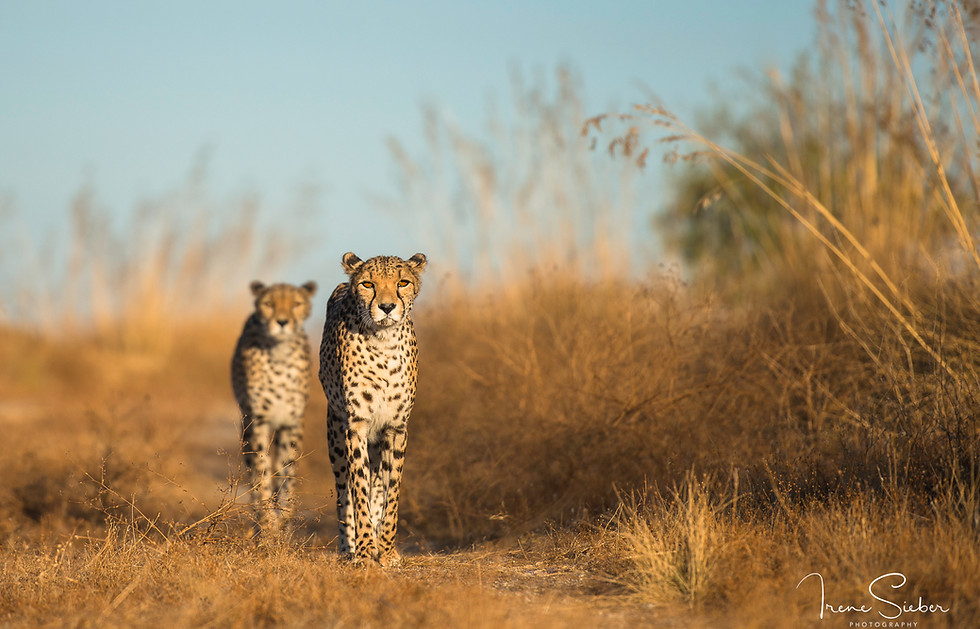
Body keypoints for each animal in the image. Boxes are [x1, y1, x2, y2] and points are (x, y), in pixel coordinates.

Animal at [231, 279, 317, 536]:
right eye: (269, 304)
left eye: (296, 304)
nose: (282, 322)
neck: (280, 355)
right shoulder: (256, 421)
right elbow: (261, 473)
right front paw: (268, 522)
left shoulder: (292, 423)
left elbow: (288, 473)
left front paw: (283, 519)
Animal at [318, 252, 427, 565]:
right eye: (368, 284)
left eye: (402, 283)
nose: (387, 307)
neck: (384, 342)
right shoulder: (356, 426)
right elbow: (358, 490)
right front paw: (365, 550)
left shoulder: (396, 429)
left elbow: (391, 493)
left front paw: (386, 549)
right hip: (335, 435)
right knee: (344, 493)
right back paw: (348, 548)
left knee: (377, 485)